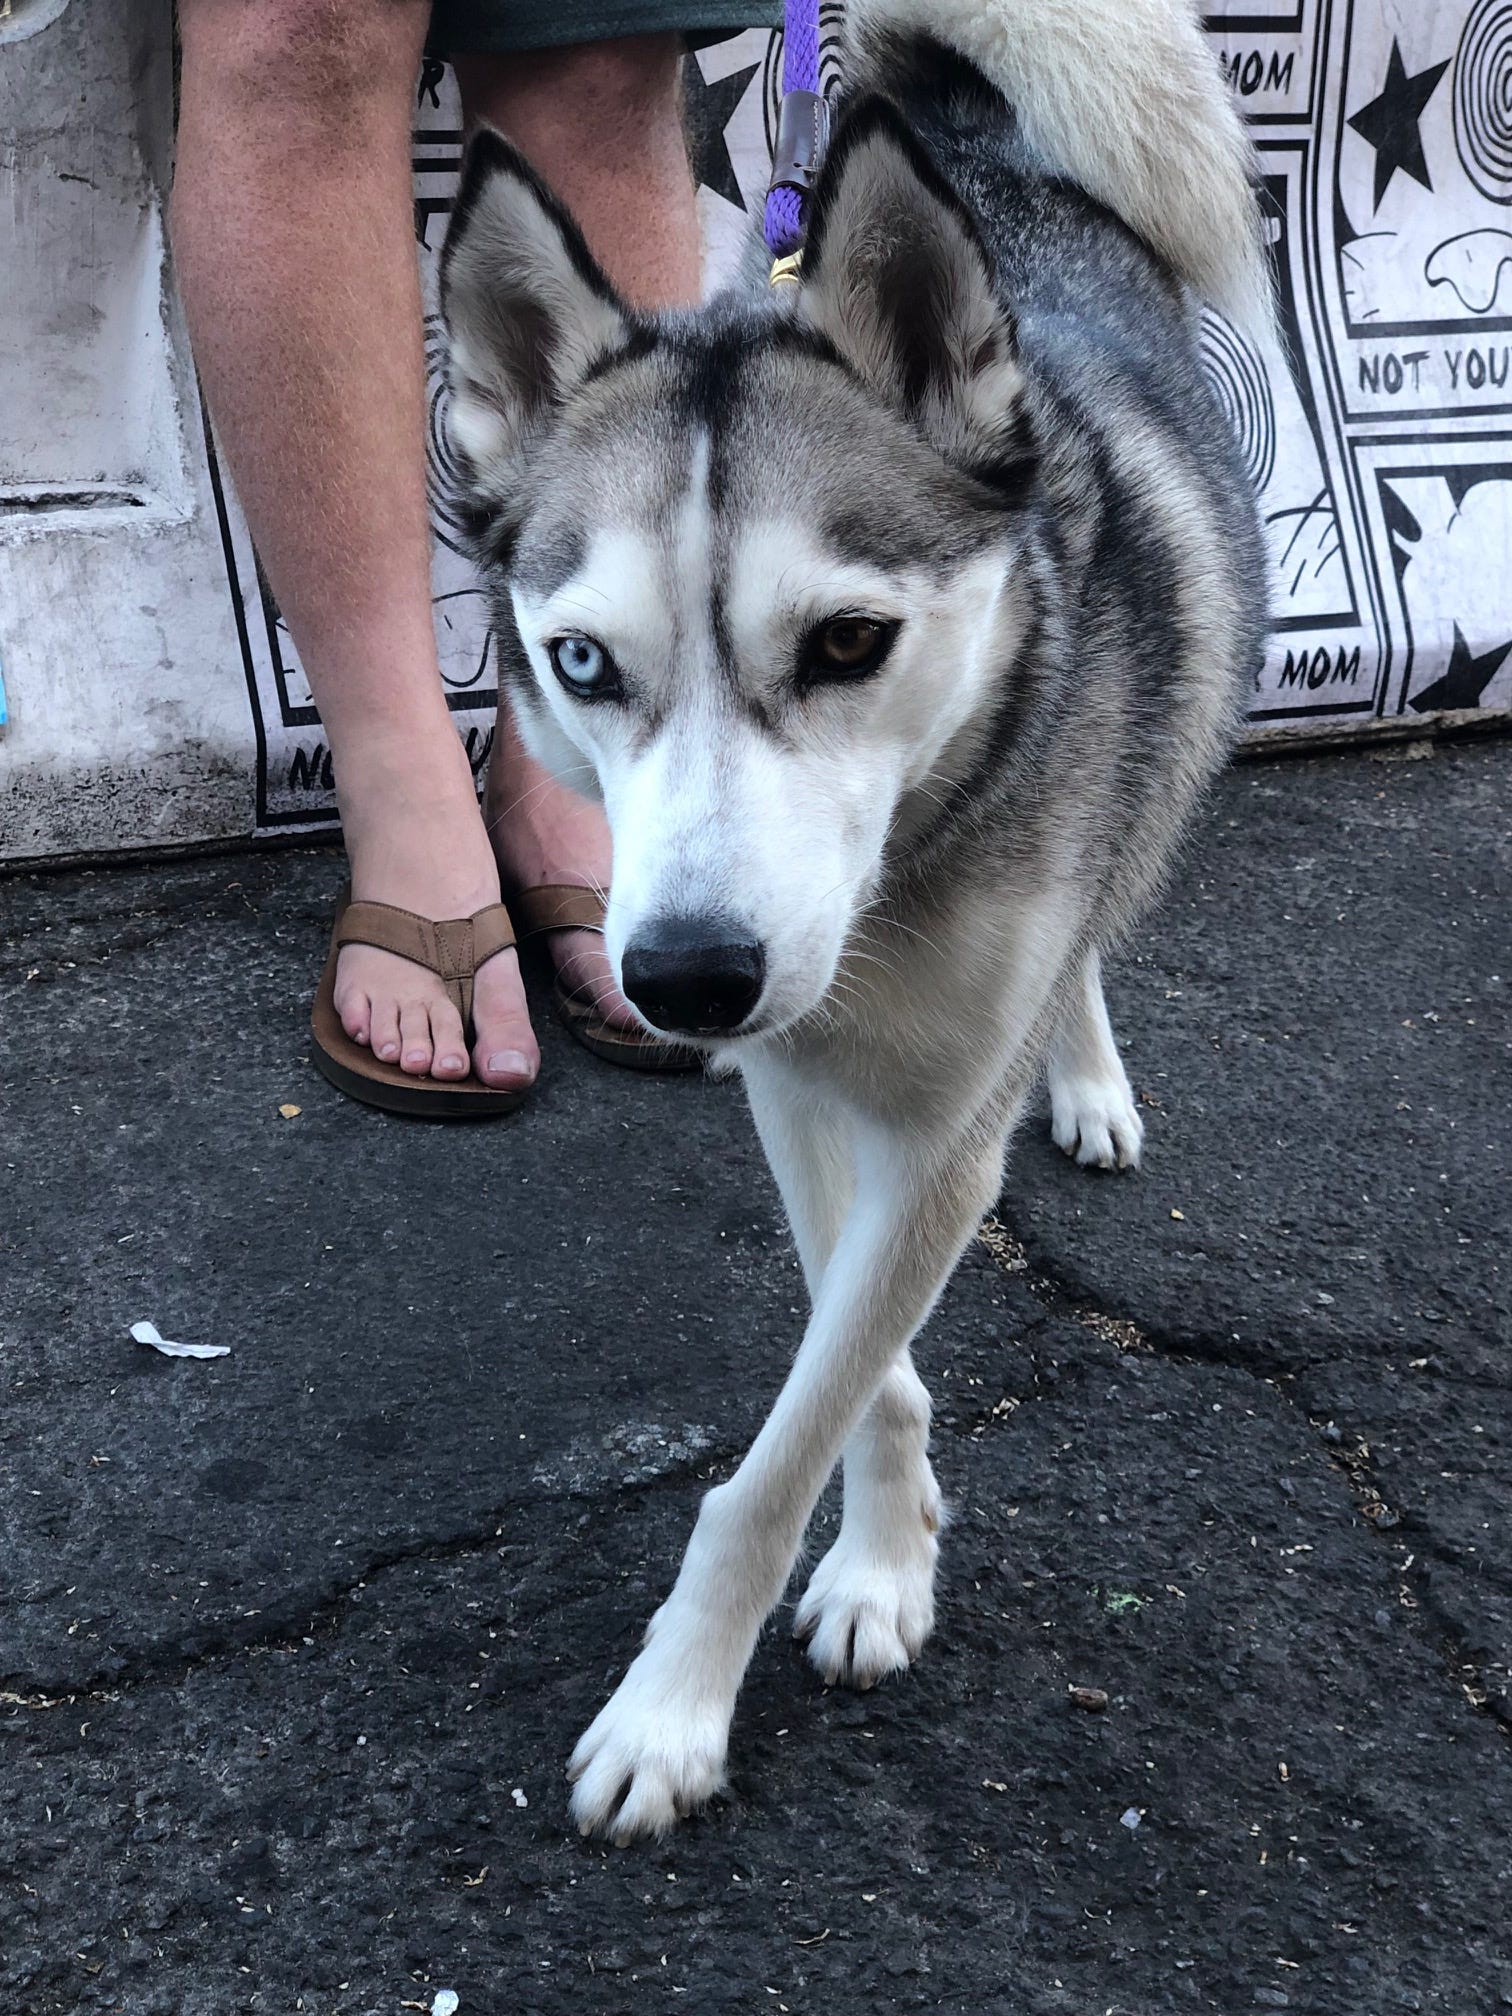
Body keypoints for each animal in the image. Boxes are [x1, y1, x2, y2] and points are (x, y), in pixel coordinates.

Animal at [437, 0, 1266, 1846]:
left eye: (844, 644)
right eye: (582, 663)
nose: (680, 979)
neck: (904, 874)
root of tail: (970, 128)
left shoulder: (942, 1126)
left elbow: (775, 1452)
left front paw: (673, 1707)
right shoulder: (803, 1090)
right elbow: (850, 1361)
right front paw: (887, 1553)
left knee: (1096, 913)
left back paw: (1089, 1078)